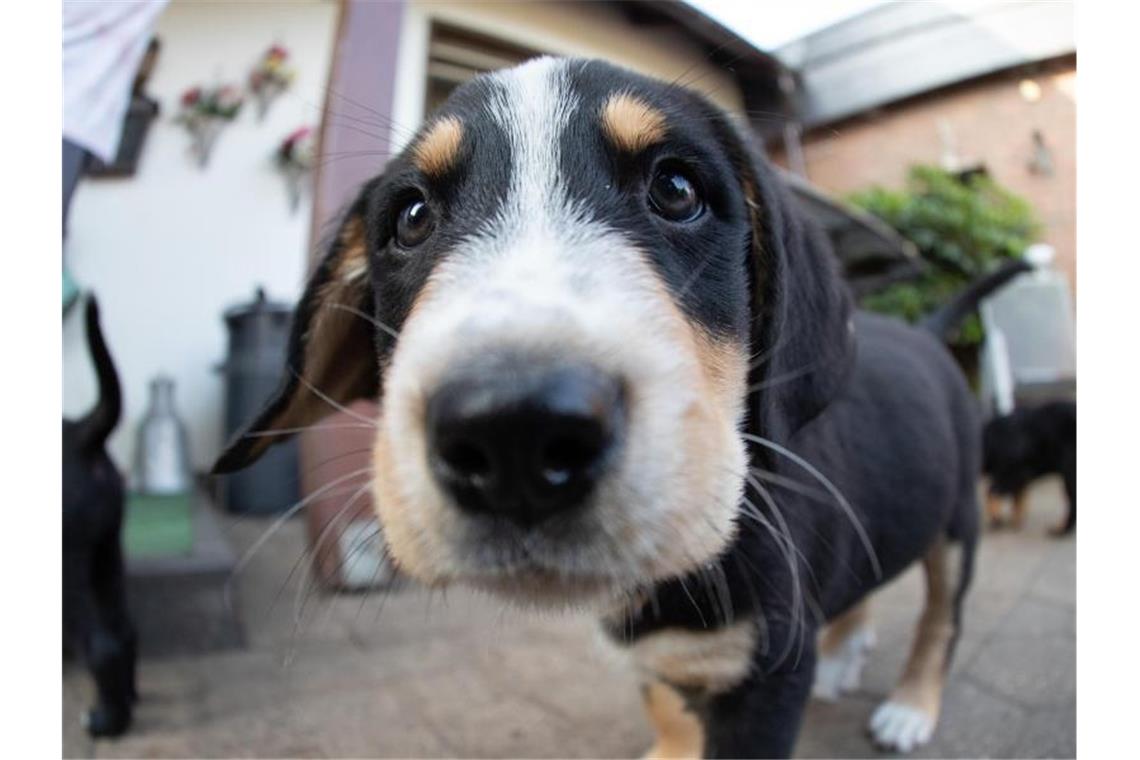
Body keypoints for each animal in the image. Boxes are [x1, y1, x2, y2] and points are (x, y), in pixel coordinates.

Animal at [214, 60, 1016, 760]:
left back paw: (910, 707)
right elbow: (663, 699)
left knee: (942, 620)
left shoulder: (769, 675)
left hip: (957, 525)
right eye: (411, 217)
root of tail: (926, 331)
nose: (515, 434)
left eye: (677, 189)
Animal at [980, 401, 1076, 537]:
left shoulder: (1011, 474)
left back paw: (1061, 530)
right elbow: (1018, 499)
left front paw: (996, 517)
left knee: (1073, 502)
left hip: (1069, 470)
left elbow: (992, 491)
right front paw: (1016, 520)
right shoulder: (1019, 477)